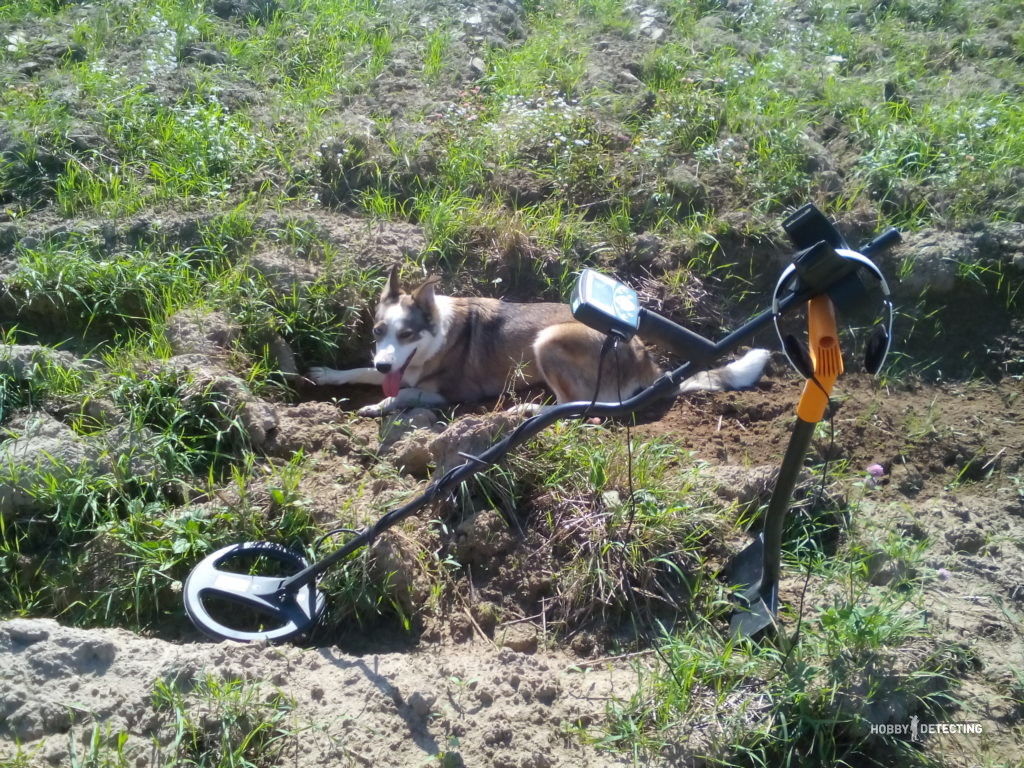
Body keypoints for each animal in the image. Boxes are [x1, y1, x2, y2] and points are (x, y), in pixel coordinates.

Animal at [307, 268, 770, 417]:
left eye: (407, 334)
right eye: (378, 332)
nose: (387, 365)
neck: (437, 335)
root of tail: (648, 362)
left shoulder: (447, 394)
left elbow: (400, 396)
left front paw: (377, 405)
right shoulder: (392, 367)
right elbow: (358, 370)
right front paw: (325, 373)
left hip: (548, 340)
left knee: (580, 406)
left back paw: (524, 410)